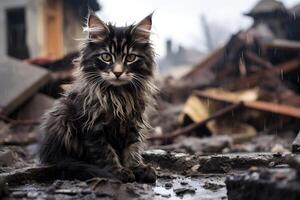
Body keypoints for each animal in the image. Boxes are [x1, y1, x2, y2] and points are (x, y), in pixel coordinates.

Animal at [38, 12, 157, 183]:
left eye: (130, 58)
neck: (118, 94)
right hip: (63, 117)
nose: (118, 72)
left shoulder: (133, 123)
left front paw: (138, 168)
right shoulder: (93, 126)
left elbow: (132, 149)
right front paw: (118, 172)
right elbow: (105, 152)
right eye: (106, 57)